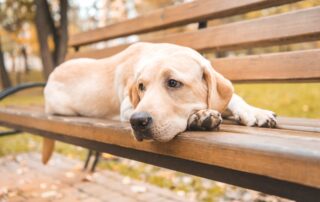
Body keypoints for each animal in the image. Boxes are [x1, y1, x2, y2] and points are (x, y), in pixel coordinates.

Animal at [43, 42, 276, 163]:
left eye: (173, 83)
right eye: (141, 87)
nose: (138, 122)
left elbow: (232, 98)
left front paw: (255, 112)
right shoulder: (127, 106)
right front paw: (200, 117)